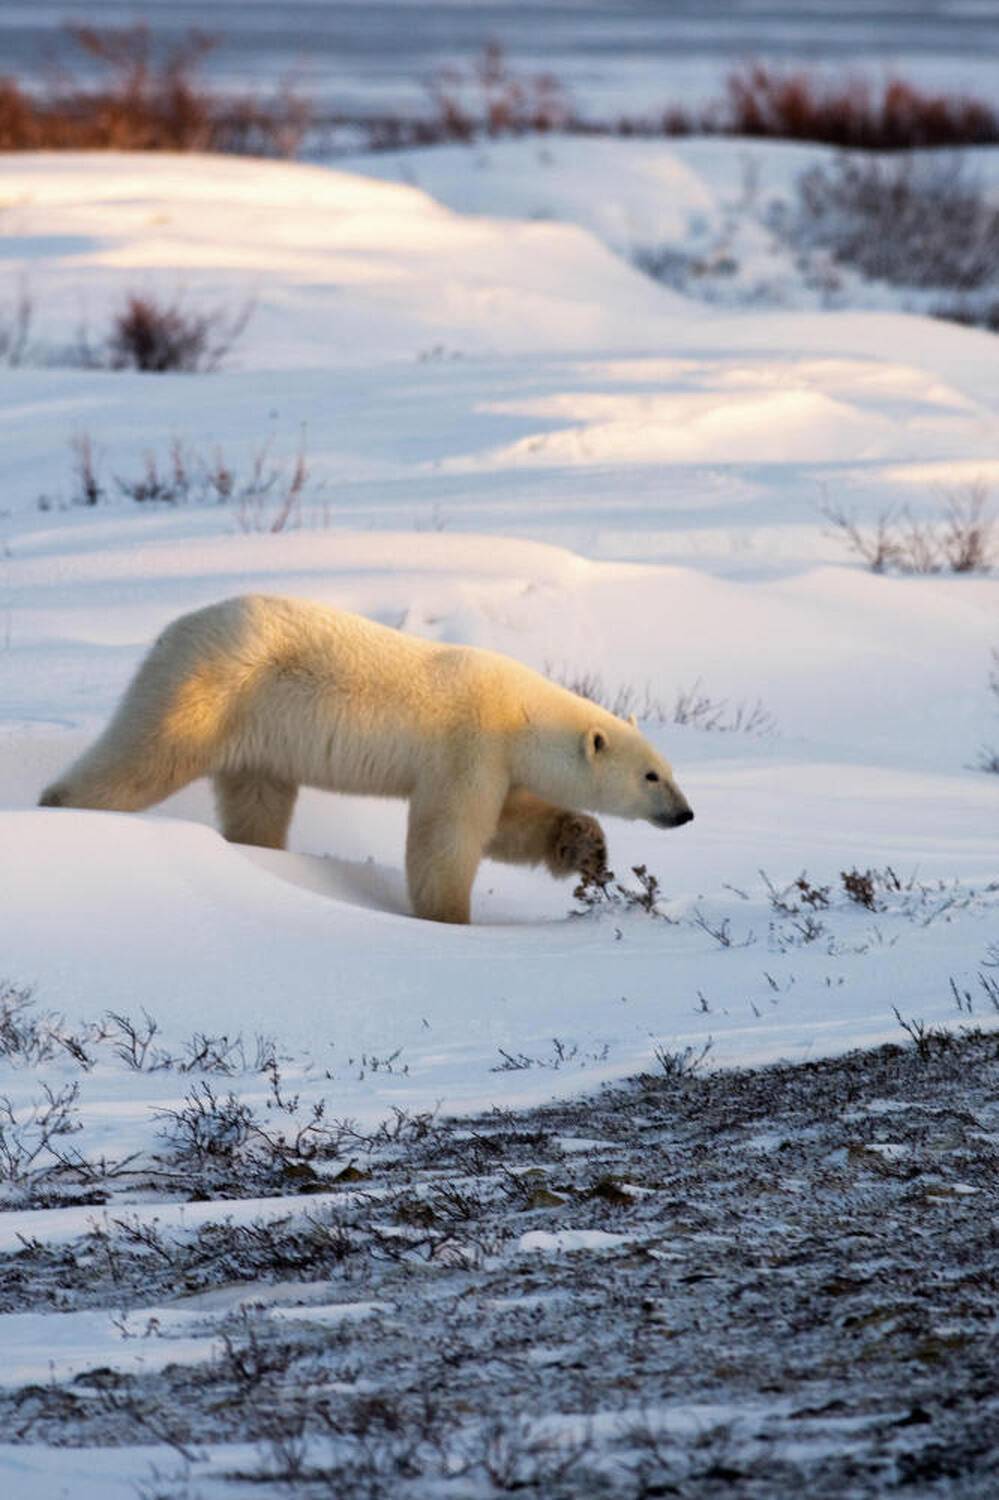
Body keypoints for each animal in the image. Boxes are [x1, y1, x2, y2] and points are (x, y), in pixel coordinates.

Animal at [39, 595, 694, 924]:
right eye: (651, 775)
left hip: (259, 734)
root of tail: (171, 630)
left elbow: (511, 823)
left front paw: (588, 848)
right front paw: (449, 918)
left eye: (670, 770)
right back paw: (63, 806)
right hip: (212, 688)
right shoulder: (468, 744)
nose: (686, 814)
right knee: (145, 757)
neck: (521, 715)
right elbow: (449, 835)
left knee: (258, 798)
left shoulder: (498, 763)